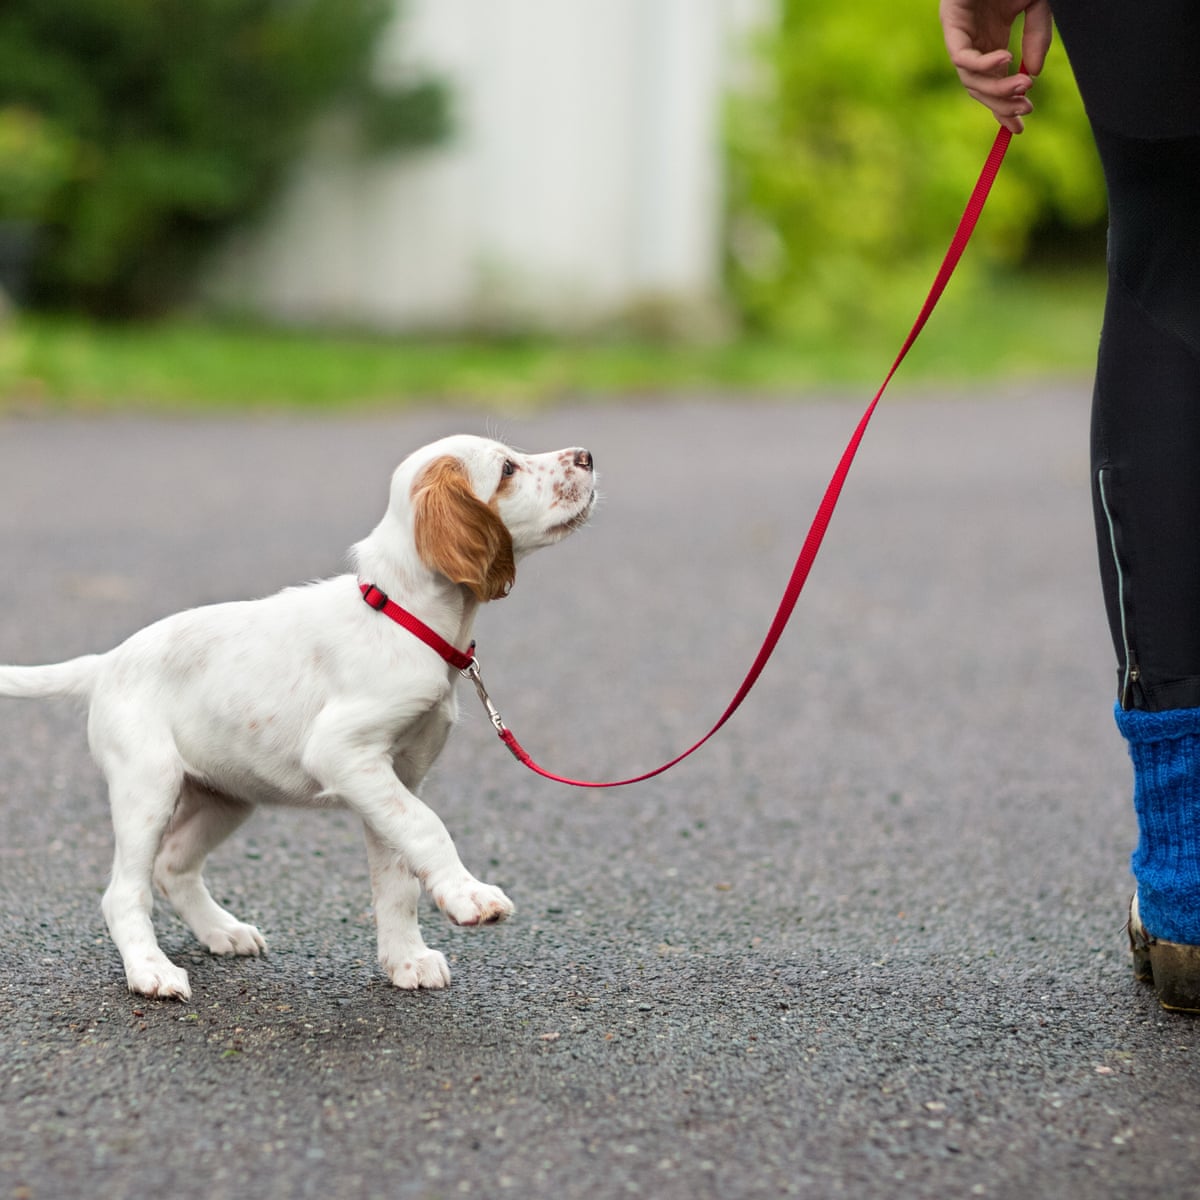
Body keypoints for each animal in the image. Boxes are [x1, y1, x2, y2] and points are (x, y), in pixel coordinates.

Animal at [0, 436, 597, 998]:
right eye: (507, 469)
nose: (588, 455)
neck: (405, 617)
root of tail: (106, 662)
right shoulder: (343, 752)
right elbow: (428, 829)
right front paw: (469, 897)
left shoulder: (395, 779)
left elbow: (397, 876)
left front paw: (406, 959)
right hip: (149, 785)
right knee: (124, 892)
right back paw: (151, 971)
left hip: (226, 795)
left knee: (173, 865)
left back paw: (222, 931)